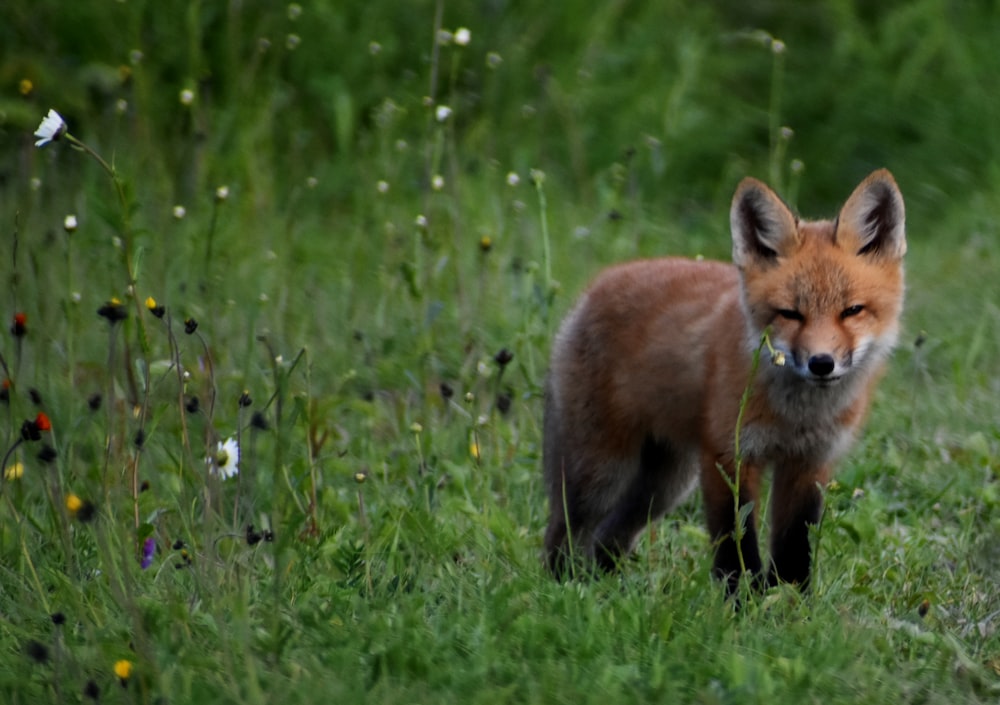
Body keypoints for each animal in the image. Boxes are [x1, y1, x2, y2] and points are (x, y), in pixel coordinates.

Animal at [544, 168, 912, 592]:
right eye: (790, 314)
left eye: (852, 311)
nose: (822, 363)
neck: (797, 416)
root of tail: (591, 291)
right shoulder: (728, 456)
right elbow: (736, 543)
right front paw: (740, 601)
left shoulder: (810, 463)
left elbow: (793, 546)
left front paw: (789, 601)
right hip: (603, 471)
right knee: (564, 530)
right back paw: (561, 586)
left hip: (664, 484)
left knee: (610, 536)